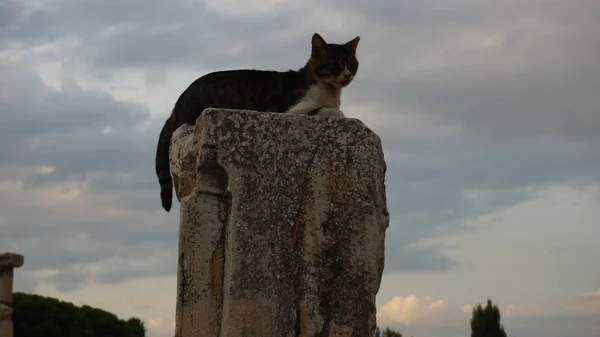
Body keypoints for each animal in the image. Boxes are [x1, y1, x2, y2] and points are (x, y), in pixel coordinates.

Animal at [156, 31, 360, 210]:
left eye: (352, 63)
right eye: (335, 64)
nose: (347, 74)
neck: (329, 91)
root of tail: (177, 105)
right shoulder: (290, 109)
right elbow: (330, 110)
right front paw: (337, 112)